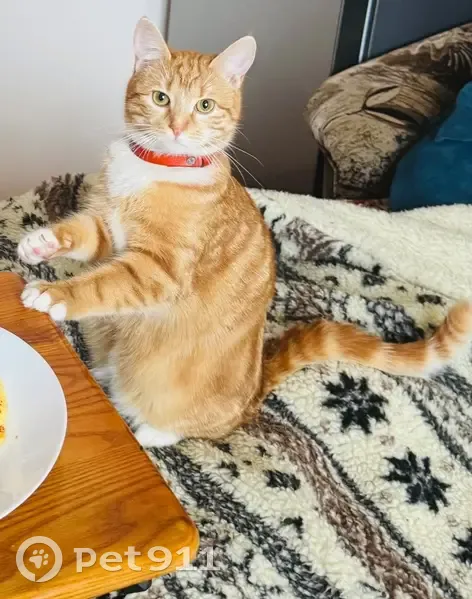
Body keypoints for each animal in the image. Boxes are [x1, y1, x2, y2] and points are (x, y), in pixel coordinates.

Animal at [17, 17, 472, 447]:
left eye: (204, 106)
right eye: (161, 98)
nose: (178, 127)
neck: (156, 167)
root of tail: (256, 389)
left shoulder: (159, 270)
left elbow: (99, 285)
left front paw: (54, 295)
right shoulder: (109, 235)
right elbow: (83, 235)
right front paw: (40, 242)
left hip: (185, 398)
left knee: (199, 425)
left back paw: (149, 431)